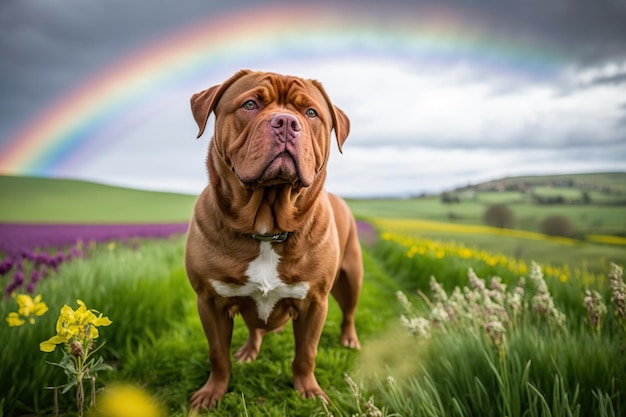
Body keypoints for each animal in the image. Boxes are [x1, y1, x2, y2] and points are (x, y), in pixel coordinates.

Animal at [183, 70, 364, 408]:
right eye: (250, 104)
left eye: (310, 113)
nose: (286, 122)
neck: (266, 226)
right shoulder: (209, 300)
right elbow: (218, 354)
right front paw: (212, 393)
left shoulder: (314, 302)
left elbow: (306, 353)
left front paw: (309, 391)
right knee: (256, 327)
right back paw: (249, 350)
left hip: (352, 276)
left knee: (349, 312)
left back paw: (349, 339)